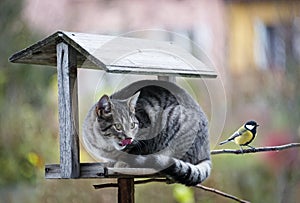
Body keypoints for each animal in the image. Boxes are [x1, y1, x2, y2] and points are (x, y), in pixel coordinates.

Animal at [82, 79, 211, 186]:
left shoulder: (145, 135)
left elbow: (134, 151)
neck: (105, 145)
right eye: (118, 126)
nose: (129, 138)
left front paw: (123, 162)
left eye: (132, 125)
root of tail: (206, 151)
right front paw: (110, 162)